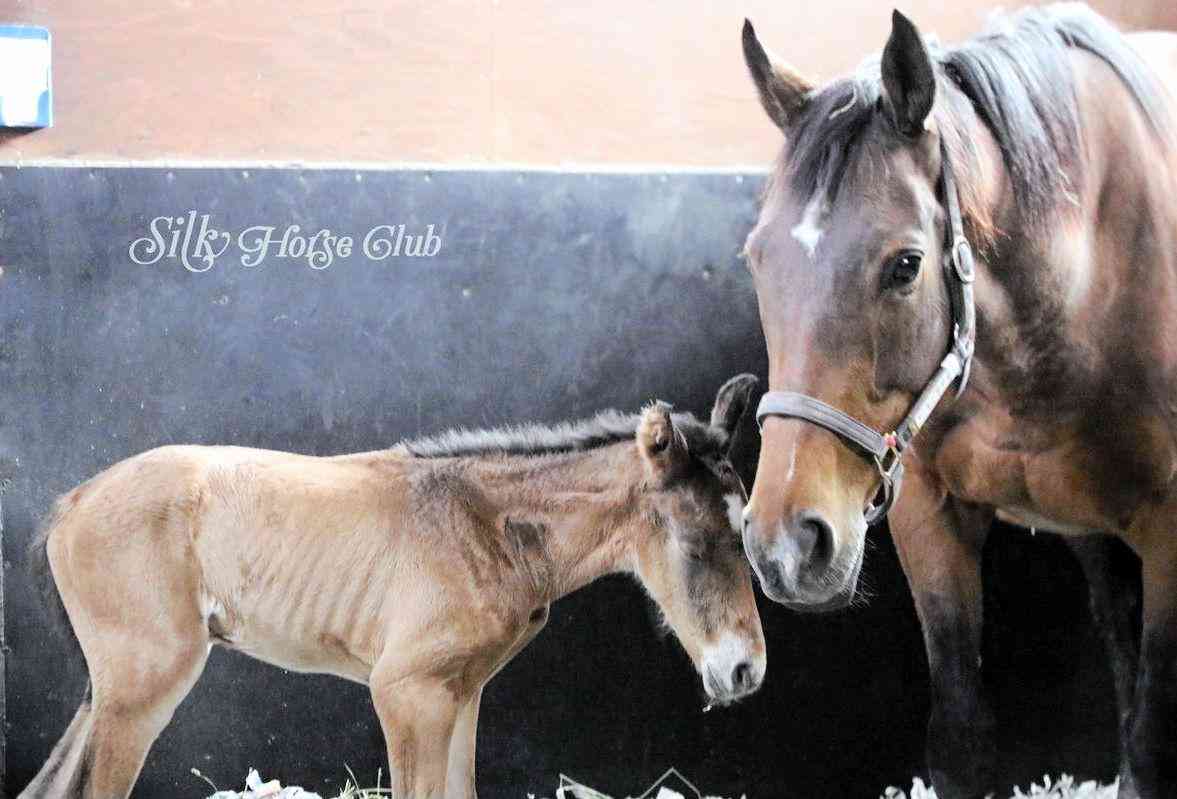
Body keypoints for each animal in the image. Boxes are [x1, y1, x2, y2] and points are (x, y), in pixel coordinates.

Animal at [19, 374, 765, 799]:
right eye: (696, 543)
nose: (744, 670)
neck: (488, 524)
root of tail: (71, 504)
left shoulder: (460, 695)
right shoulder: (406, 691)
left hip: (107, 690)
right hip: (143, 687)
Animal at [737, 5, 1177, 798]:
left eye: (906, 265)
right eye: (757, 258)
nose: (786, 544)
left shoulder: (1169, 528)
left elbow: (1155, 744)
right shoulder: (929, 516)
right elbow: (961, 741)